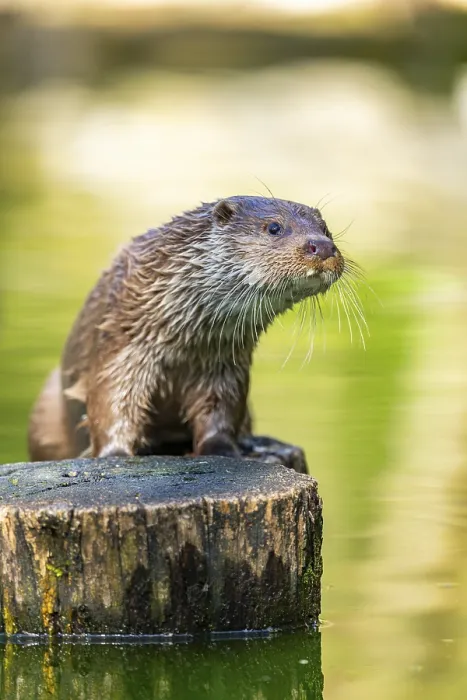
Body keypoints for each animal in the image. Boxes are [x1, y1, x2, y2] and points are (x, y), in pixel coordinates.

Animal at [28, 196, 347, 461]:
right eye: (274, 227)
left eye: (326, 229)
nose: (322, 246)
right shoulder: (122, 343)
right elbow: (111, 400)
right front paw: (114, 455)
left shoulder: (223, 365)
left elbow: (221, 411)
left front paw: (224, 451)